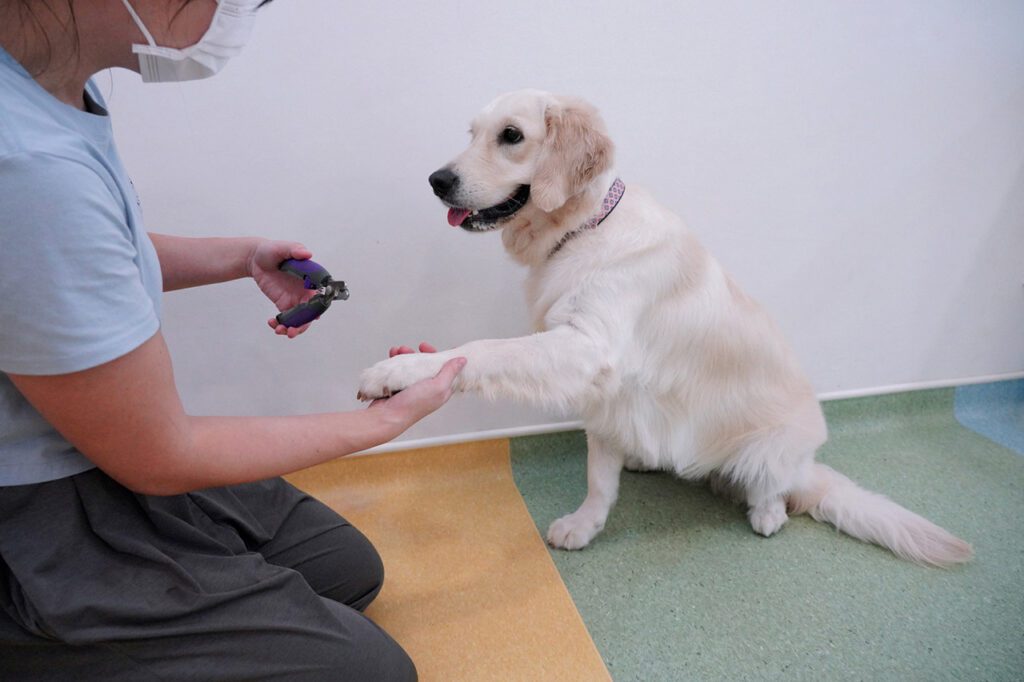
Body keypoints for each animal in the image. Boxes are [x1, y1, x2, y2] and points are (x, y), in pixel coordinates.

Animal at [356, 93, 970, 565]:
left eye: (511, 135)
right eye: (473, 133)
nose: (437, 180)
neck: (583, 228)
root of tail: (807, 467)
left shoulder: (586, 347)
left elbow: (482, 349)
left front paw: (399, 371)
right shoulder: (602, 392)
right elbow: (599, 478)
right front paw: (584, 526)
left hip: (774, 448)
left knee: (776, 491)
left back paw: (766, 512)